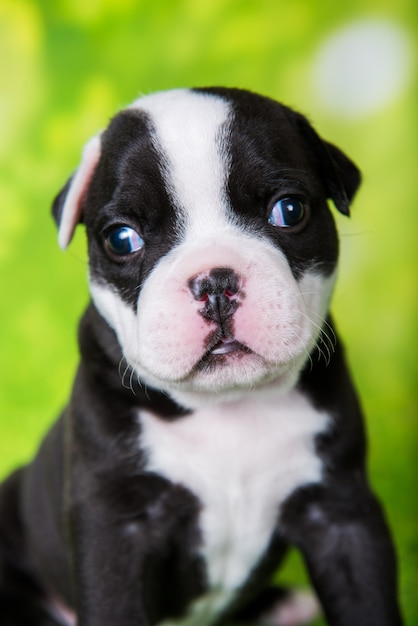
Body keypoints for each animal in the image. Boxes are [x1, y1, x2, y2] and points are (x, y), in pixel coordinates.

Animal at [0, 88, 404, 624]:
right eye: (121, 238)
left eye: (289, 210)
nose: (215, 283)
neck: (226, 407)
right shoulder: (114, 532)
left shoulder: (343, 515)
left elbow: (368, 600)